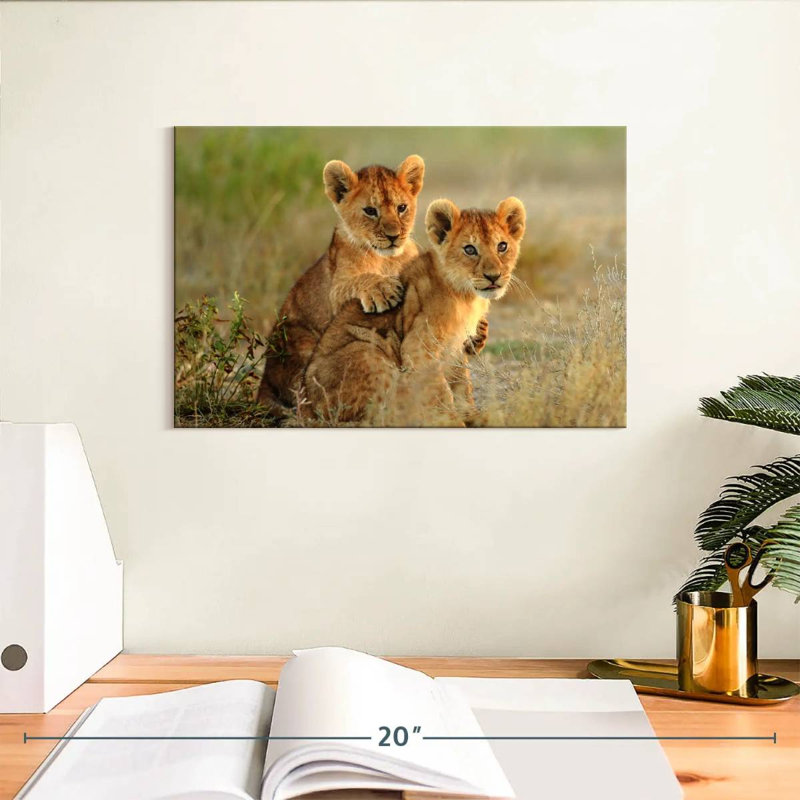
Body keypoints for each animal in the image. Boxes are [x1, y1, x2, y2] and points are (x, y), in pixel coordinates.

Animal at [256, 155, 426, 413]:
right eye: (370, 211)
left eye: (402, 208)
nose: (394, 236)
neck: (387, 259)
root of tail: (264, 380)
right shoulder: (336, 290)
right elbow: (355, 282)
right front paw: (383, 289)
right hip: (299, 341)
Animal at [301, 196, 526, 426]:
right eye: (470, 249)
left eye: (502, 246)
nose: (494, 276)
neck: (466, 296)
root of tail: (307, 406)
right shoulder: (419, 347)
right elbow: (440, 391)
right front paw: (452, 421)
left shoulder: (455, 347)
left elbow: (461, 385)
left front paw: (473, 416)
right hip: (366, 351)